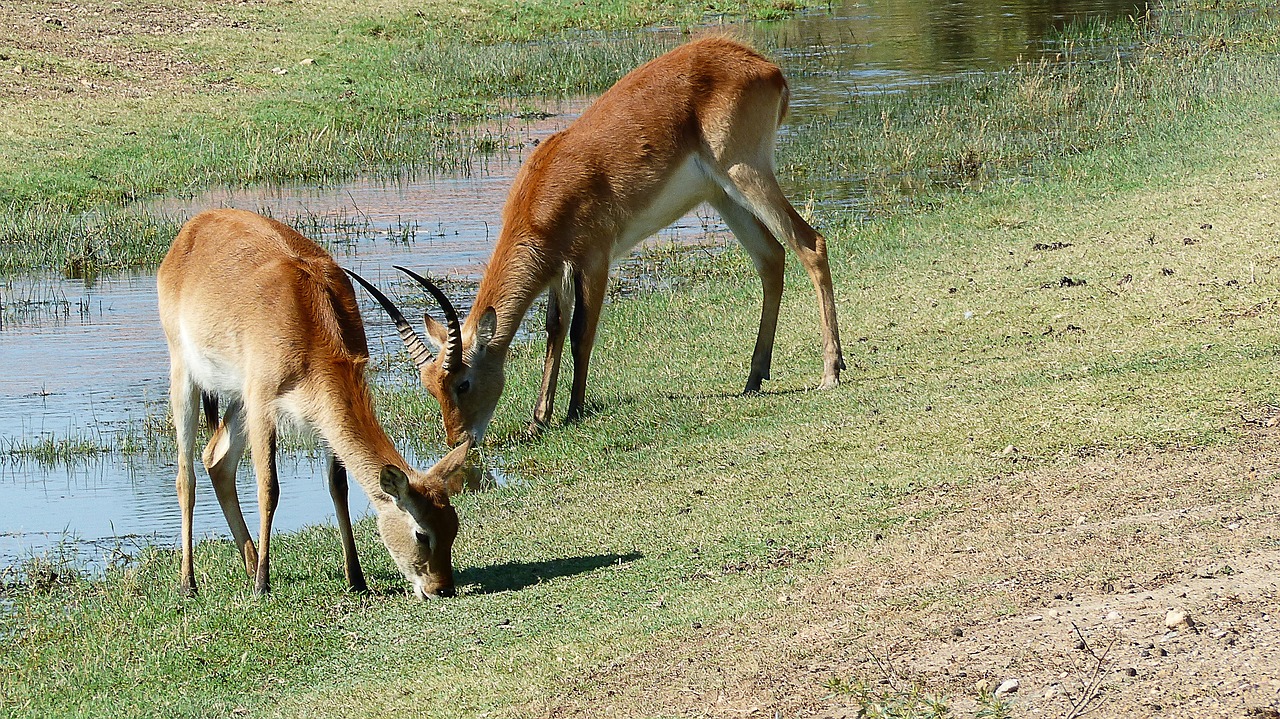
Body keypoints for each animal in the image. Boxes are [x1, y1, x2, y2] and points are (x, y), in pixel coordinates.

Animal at [154, 208, 465, 598]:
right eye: (422, 533)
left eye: (453, 523)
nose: (442, 588)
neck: (308, 316)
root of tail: (196, 225)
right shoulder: (262, 403)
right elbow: (268, 487)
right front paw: (262, 585)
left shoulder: (320, 411)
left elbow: (338, 485)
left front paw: (356, 578)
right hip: (187, 377)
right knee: (186, 476)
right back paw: (191, 583)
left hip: (238, 400)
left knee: (217, 459)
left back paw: (248, 563)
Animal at [355, 37, 844, 447]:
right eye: (428, 385)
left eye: (462, 382)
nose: (459, 441)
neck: (544, 195)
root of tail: (766, 66)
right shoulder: (557, 271)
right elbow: (553, 330)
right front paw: (538, 419)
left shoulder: (594, 257)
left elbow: (580, 333)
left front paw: (573, 411)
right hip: (722, 195)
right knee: (771, 257)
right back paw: (753, 378)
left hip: (746, 172)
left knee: (811, 244)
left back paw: (830, 372)